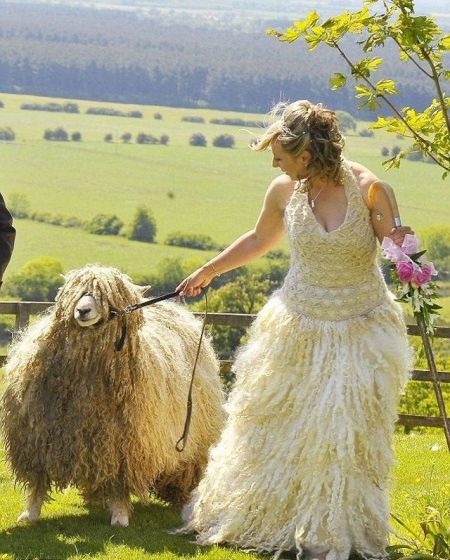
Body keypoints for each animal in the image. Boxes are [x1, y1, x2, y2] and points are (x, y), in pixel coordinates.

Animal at [0, 264, 225, 528]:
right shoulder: (40, 436)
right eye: (76, 291)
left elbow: (120, 482)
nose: (82, 310)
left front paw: (120, 514)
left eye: (106, 296)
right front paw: (30, 512)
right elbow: (38, 479)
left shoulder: (124, 444)